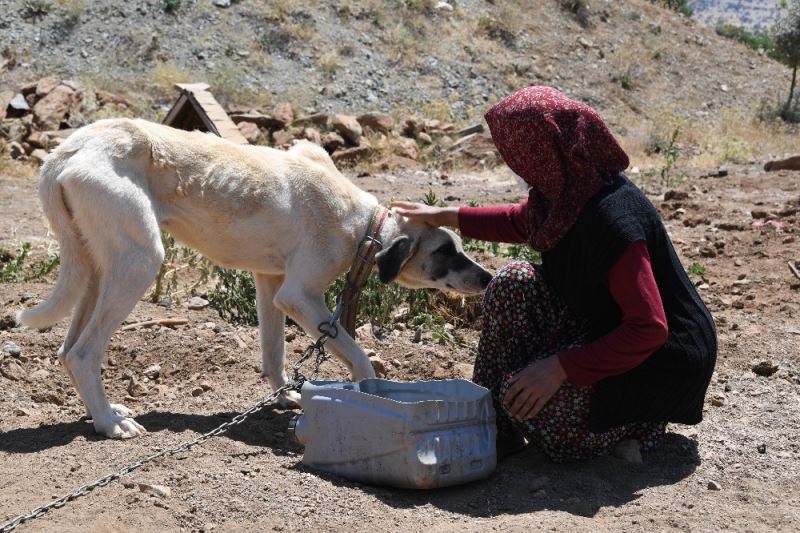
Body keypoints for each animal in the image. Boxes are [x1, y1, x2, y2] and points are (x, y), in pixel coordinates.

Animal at [17, 119, 493, 439]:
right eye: (445, 251)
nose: (488, 278)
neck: (365, 228)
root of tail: (66, 150)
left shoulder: (271, 284)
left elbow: (274, 353)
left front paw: (283, 397)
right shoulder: (301, 296)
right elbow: (358, 357)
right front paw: (368, 390)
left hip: (95, 267)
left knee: (67, 350)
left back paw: (100, 411)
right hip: (138, 261)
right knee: (83, 353)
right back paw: (109, 424)